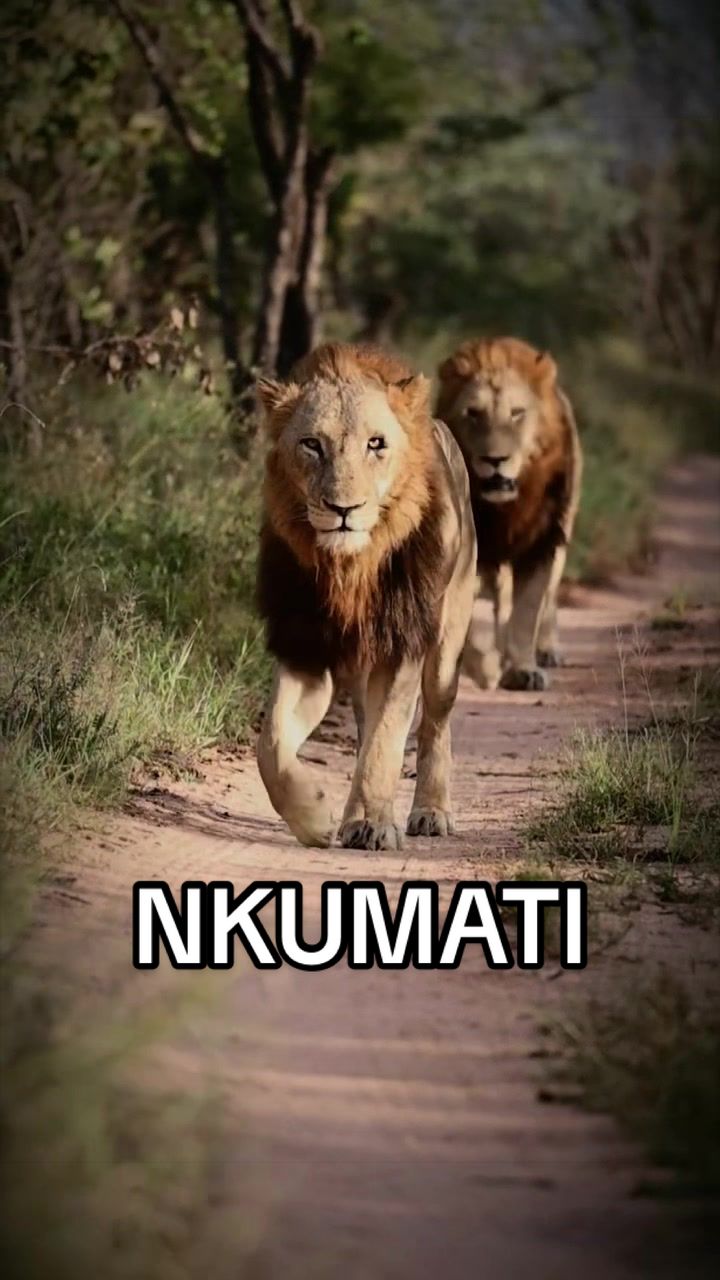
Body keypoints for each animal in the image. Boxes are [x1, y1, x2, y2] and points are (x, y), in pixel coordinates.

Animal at [255, 342, 478, 850]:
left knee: (435, 722)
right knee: (362, 721)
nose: (343, 509)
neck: (350, 567)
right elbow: (271, 740)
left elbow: (385, 742)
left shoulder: (402, 646)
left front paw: (373, 824)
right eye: (311, 445)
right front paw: (313, 817)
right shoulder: (305, 646)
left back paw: (430, 812)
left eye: (376, 444)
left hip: (446, 642)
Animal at [436, 336, 582, 691]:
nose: (495, 460)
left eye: (517, 414)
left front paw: (523, 669)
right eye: (473, 413)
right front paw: (486, 668)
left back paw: (547, 650)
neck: (506, 509)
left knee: (548, 598)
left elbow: (527, 613)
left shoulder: (541, 544)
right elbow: (466, 622)